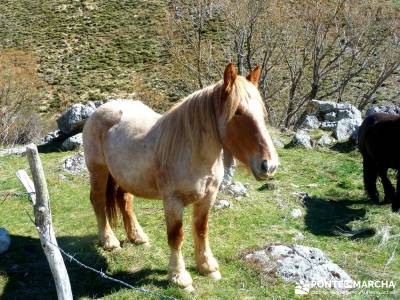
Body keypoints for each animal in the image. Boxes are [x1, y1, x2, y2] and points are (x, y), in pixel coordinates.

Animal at [82, 63, 278, 290]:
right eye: (237, 112)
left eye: (262, 112)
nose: (269, 165)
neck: (191, 150)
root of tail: (102, 108)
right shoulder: (173, 201)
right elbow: (176, 236)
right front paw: (179, 277)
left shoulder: (208, 197)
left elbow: (201, 230)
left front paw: (207, 267)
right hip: (98, 171)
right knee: (97, 200)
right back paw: (109, 241)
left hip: (125, 176)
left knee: (125, 200)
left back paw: (137, 236)